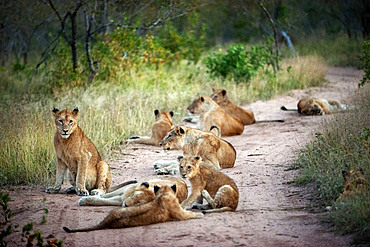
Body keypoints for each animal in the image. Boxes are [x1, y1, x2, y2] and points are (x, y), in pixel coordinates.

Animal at [62, 184, 204, 233]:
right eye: (134, 196)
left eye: (140, 203)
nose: (126, 204)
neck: (163, 195)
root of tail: (108, 222)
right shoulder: (180, 213)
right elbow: (189, 214)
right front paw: (200, 214)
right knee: (107, 193)